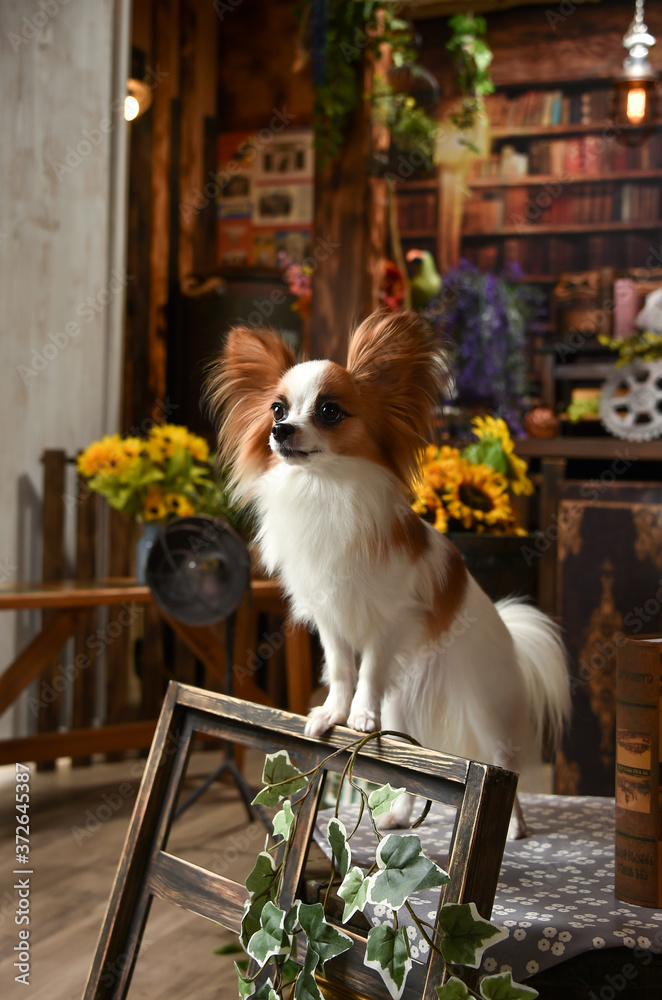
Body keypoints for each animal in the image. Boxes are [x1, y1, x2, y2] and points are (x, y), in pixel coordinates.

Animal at [207, 309, 570, 835]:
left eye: (329, 411)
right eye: (277, 409)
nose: (282, 430)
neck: (324, 489)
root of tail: (507, 629)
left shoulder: (388, 623)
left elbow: (369, 670)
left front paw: (359, 717)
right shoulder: (331, 622)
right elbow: (342, 670)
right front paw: (332, 714)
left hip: (485, 705)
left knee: (503, 761)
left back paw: (516, 826)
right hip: (406, 703)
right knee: (408, 760)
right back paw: (398, 815)